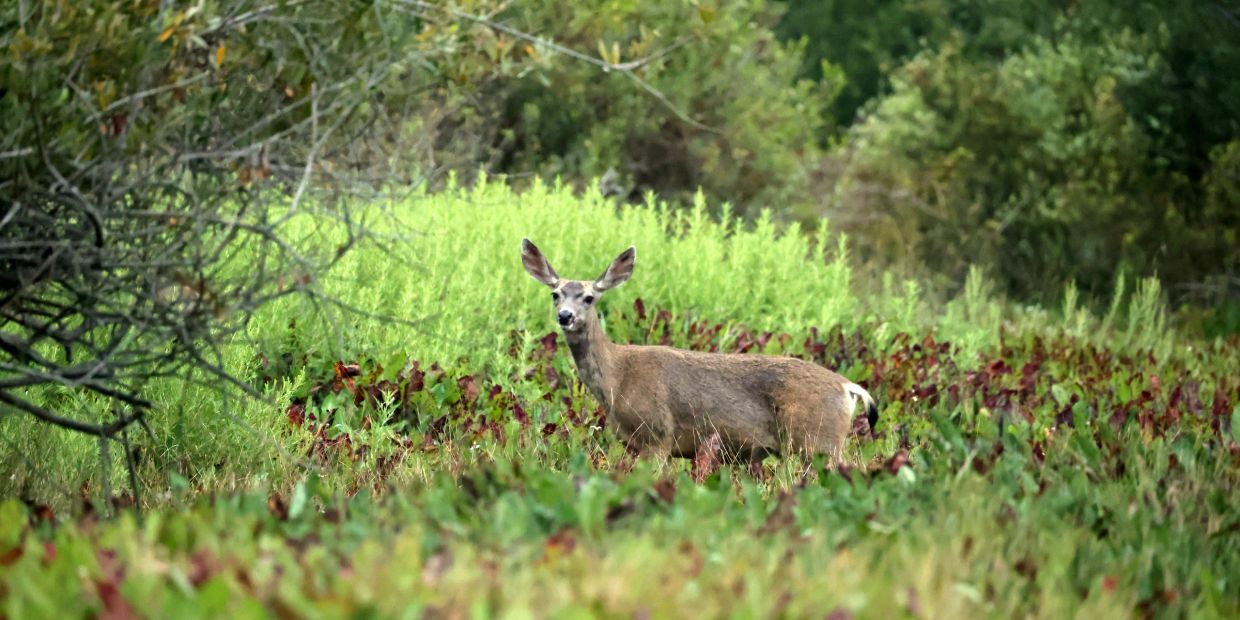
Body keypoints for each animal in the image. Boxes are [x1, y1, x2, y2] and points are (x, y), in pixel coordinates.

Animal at [521, 239, 878, 475]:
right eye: (555, 294)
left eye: (589, 297)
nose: (565, 316)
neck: (616, 378)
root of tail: (847, 388)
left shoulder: (657, 435)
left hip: (817, 440)